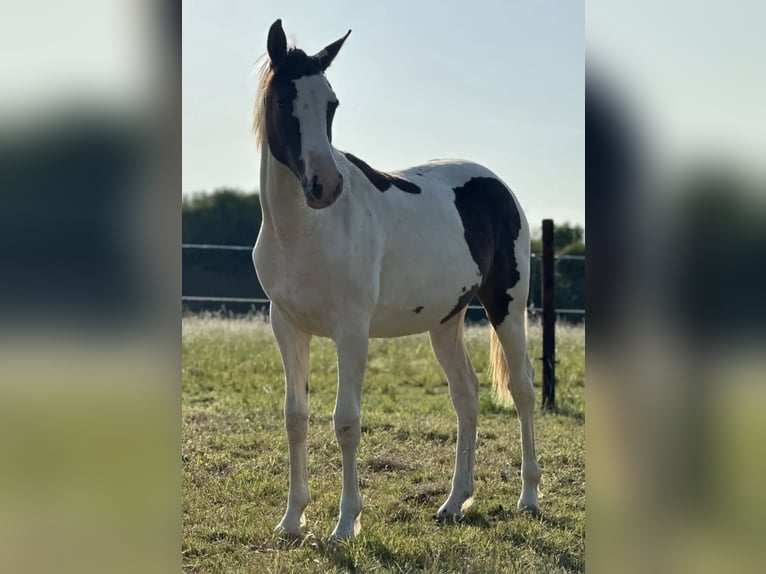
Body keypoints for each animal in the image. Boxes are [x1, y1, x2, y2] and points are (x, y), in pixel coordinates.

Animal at [252, 19, 541, 540]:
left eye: (331, 104)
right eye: (284, 101)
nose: (326, 185)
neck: (303, 229)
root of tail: (497, 185)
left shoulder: (351, 331)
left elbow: (346, 422)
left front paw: (346, 523)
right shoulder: (287, 327)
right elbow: (295, 418)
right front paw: (292, 519)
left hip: (506, 307)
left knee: (523, 391)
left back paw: (529, 496)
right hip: (446, 322)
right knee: (466, 396)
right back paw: (454, 502)